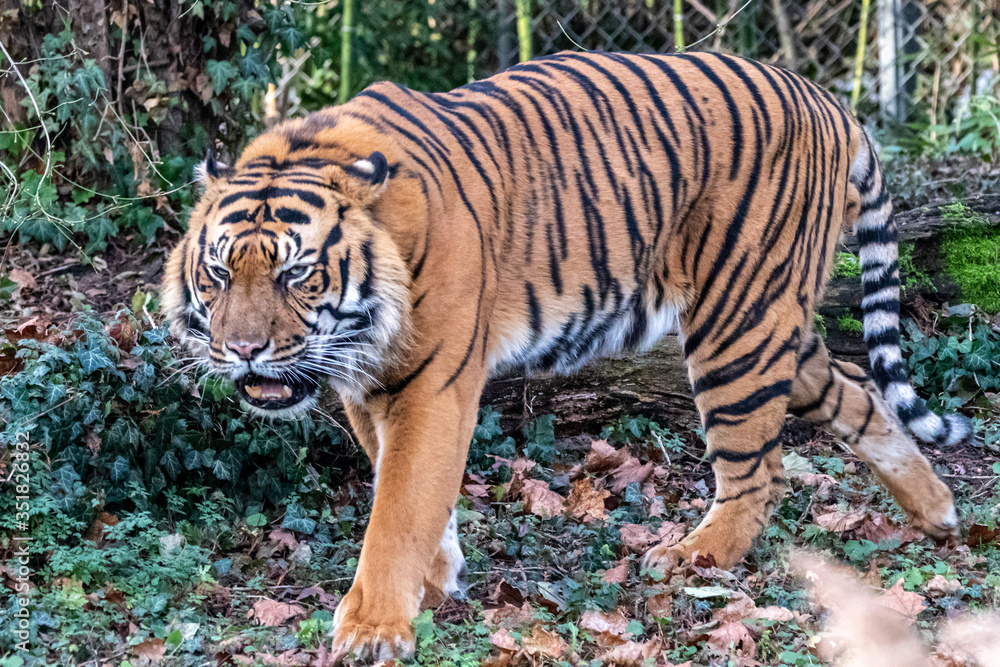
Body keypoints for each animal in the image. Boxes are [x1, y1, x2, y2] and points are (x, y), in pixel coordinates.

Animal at [162, 50, 972, 661]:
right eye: (220, 273)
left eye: (297, 273)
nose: (244, 351)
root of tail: (833, 104)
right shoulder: (369, 385)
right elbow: (417, 497)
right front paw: (437, 582)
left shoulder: (432, 383)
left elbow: (398, 505)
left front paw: (373, 628)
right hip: (770, 325)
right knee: (857, 386)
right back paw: (937, 510)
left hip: (735, 322)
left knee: (758, 468)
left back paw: (693, 556)